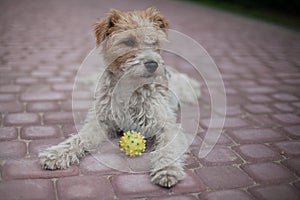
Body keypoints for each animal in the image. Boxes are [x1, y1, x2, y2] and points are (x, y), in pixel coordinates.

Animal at [38, 7, 200, 188]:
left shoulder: (168, 126)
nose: (153, 64)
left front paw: (167, 170)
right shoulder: (100, 123)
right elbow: (78, 139)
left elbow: (168, 149)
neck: (129, 88)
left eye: (155, 43)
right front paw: (57, 153)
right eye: (128, 42)